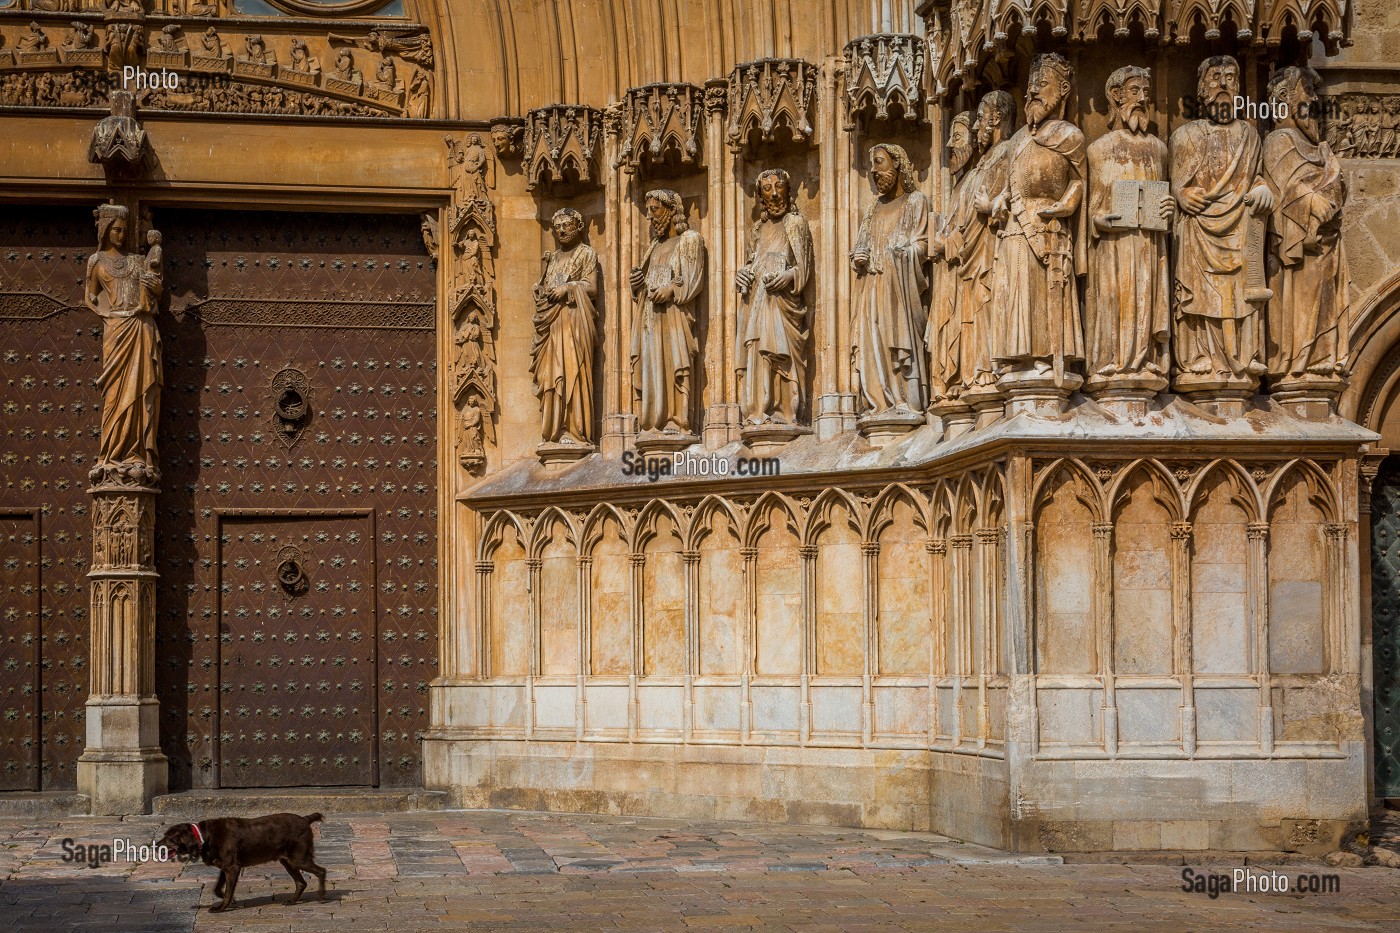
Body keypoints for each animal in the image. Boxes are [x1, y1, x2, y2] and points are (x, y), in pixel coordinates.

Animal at [160, 806, 327, 907]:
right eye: (164, 835)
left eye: (169, 838)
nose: (156, 845)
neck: (204, 836)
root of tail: (305, 819)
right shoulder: (225, 868)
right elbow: (218, 889)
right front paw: (232, 901)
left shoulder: (232, 867)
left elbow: (227, 891)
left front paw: (221, 907)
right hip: (288, 861)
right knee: (301, 883)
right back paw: (292, 901)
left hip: (298, 859)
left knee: (321, 871)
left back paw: (321, 896)